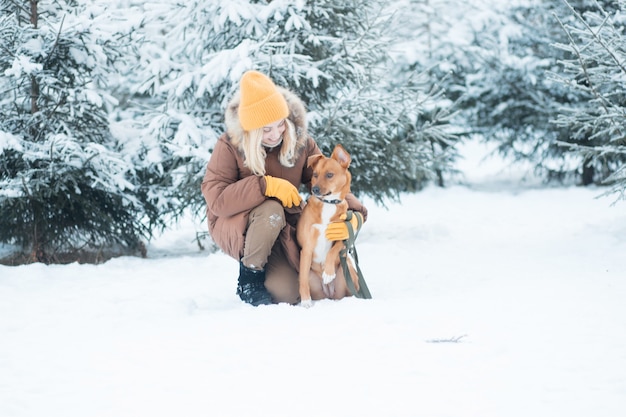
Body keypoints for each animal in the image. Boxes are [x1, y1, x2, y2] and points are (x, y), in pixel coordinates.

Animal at [296, 144, 358, 306]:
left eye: (329, 175)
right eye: (315, 174)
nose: (315, 189)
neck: (328, 204)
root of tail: (329, 294)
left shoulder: (343, 234)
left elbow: (333, 250)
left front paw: (328, 272)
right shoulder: (307, 248)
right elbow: (302, 280)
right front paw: (305, 301)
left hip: (347, 268)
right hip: (313, 280)